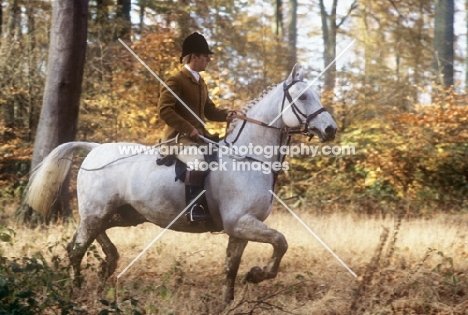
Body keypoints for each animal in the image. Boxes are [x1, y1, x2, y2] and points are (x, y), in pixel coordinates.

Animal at [26, 64, 336, 304]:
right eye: (303, 96)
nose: (331, 129)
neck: (249, 158)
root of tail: (95, 149)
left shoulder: (239, 229)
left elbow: (230, 267)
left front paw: (228, 302)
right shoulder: (240, 223)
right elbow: (280, 242)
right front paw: (258, 274)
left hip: (122, 215)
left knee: (91, 238)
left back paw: (106, 269)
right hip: (97, 212)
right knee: (77, 248)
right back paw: (76, 291)